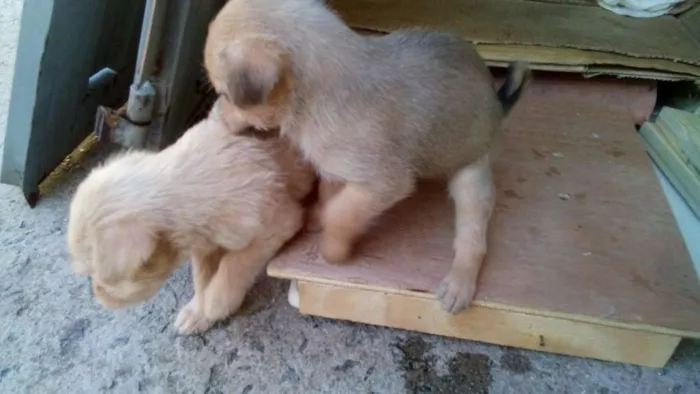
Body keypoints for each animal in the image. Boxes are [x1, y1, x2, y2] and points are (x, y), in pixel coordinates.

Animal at [67, 98, 314, 332]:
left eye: (102, 277)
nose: (99, 298)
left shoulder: (279, 222)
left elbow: (234, 265)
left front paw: (215, 304)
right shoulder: (204, 245)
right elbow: (202, 277)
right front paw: (198, 312)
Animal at [202, 0, 532, 314]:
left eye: (226, 95)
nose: (215, 117)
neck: (316, 98)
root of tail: (497, 104)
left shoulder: (385, 183)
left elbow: (341, 212)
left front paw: (334, 249)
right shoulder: (338, 171)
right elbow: (330, 196)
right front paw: (317, 216)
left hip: (471, 178)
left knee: (472, 238)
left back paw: (459, 283)